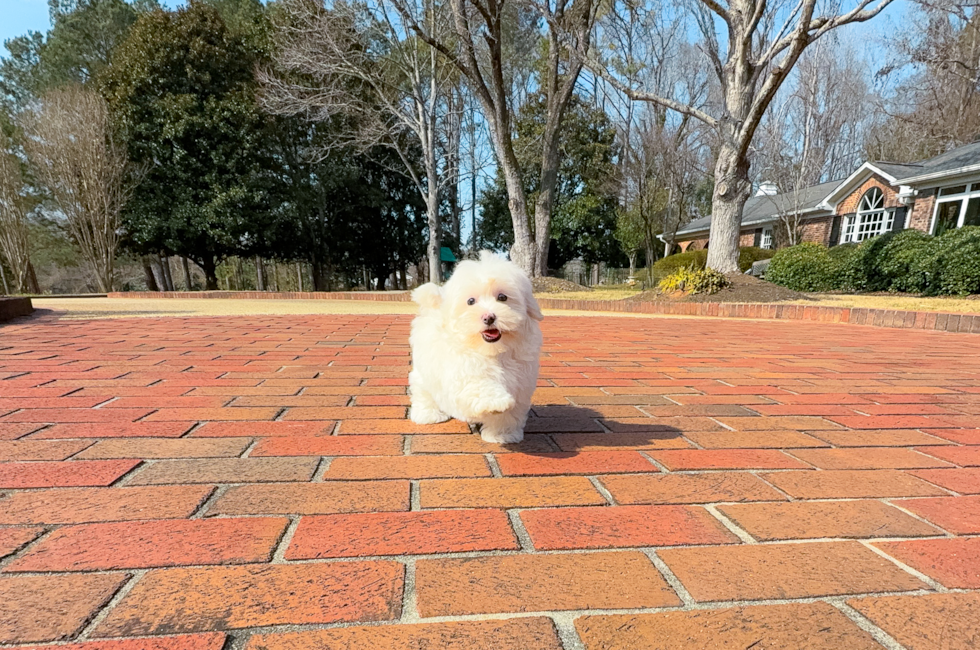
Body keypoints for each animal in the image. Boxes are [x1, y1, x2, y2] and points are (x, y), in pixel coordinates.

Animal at [408, 248, 544, 440]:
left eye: (502, 297)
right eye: (470, 301)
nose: (489, 317)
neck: (493, 350)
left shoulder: (521, 381)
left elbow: (509, 413)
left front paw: (503, 434)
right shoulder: (462, 367)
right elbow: (477, 382)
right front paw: (496, 402)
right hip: (424, 372)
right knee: (423, 391)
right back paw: (428, 414)